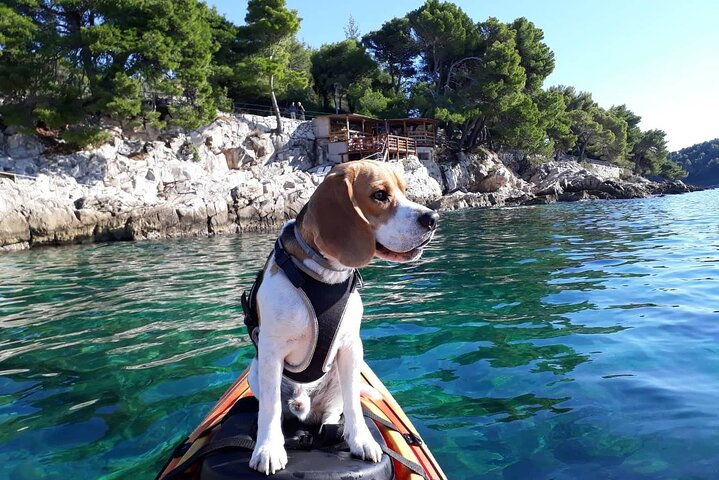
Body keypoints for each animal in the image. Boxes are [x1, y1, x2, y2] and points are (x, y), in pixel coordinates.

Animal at [246, 160, 438, 472]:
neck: (324, 274)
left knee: (333, 413)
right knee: (276, 407)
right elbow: (270, 408)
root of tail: (304, 406)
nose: (432, 218)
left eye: (404, 190)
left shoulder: (350, 347)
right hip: (255, 371)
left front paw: (361, 440)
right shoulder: (270, 350)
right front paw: (269, 448)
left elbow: (354, 406)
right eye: (379, 195)